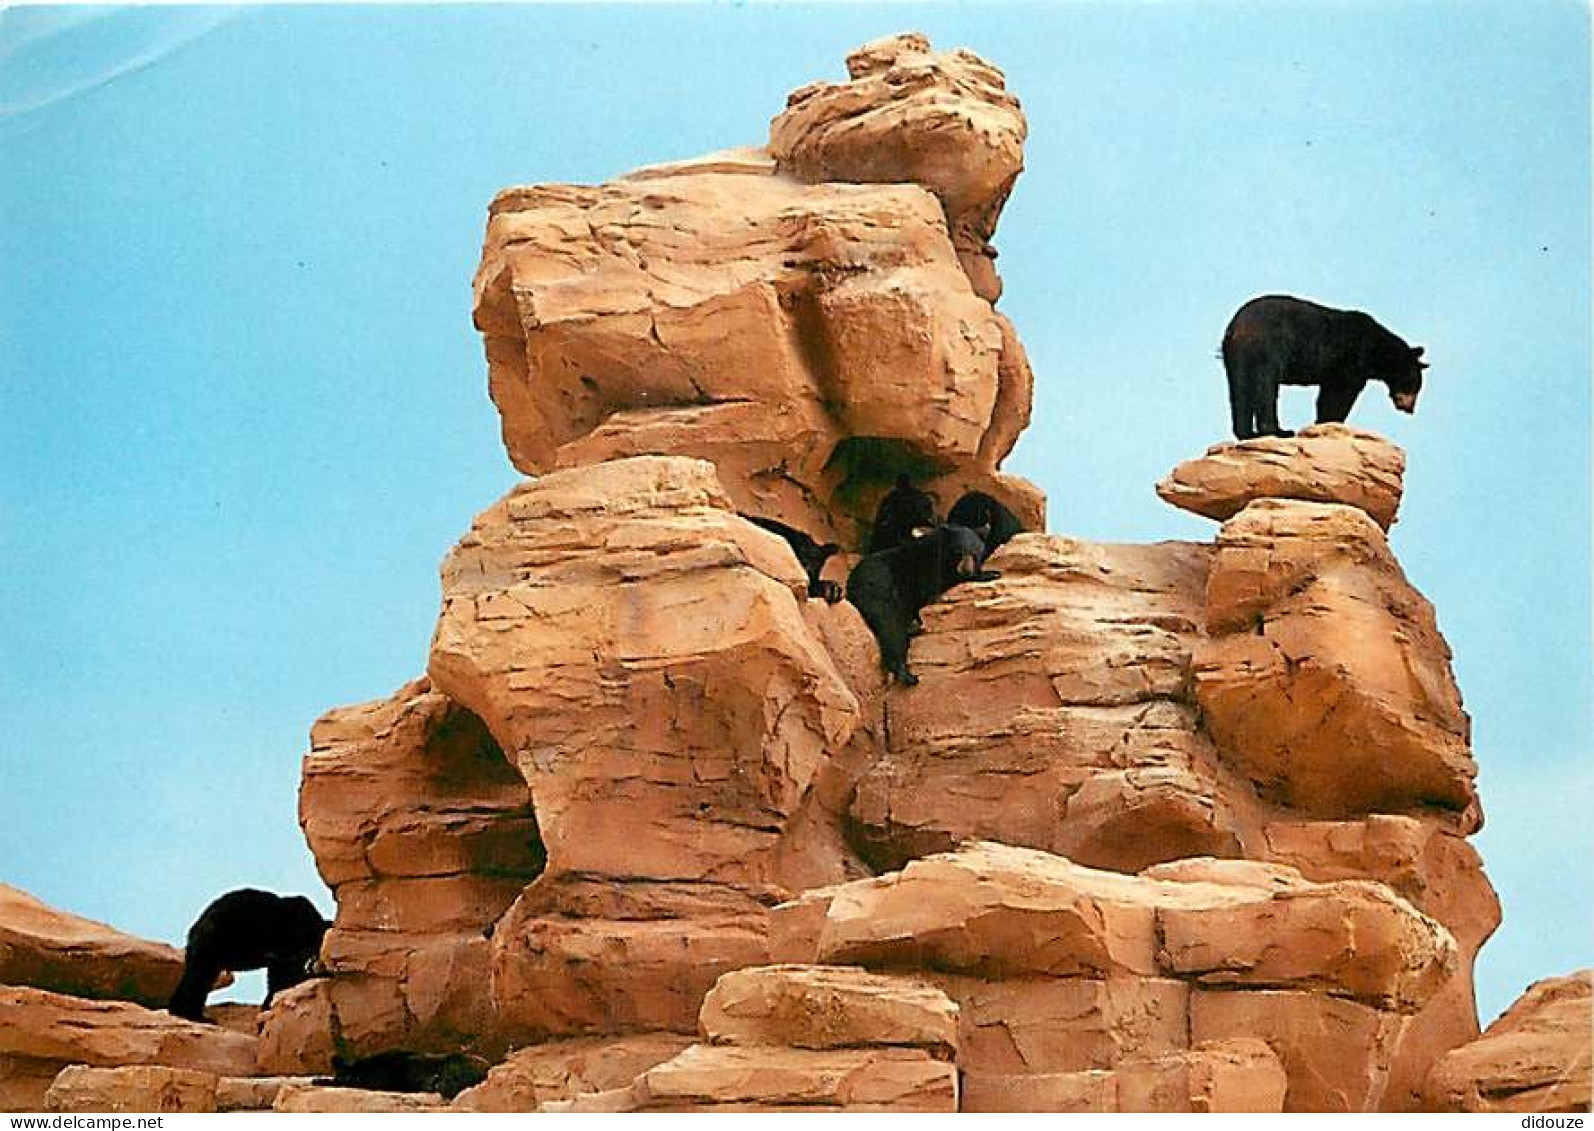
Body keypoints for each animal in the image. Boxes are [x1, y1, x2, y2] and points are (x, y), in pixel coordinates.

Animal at [168, 892, 329, 1025]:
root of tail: (195, 928)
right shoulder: (290, 946)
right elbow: (283, 976)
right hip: (211, 945)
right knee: (199, 978)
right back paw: (193, 1016)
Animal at [848, 525, 981, 691]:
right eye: (959, 552)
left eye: (975, 554)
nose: (967, 570)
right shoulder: (926, 567)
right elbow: (932, 586)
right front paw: (990, 573)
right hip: (881, 592)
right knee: (891, 627)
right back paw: (906, 672)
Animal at [1217, 294, 1434, 439]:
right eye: (1414, 384)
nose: (1409, 408)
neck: (1377, 350)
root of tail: (1237, 327)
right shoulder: (1351, 359)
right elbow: (1341, 393)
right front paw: (1331, 422)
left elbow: (1327, 393)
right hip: (1270, 347)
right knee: (1266, 387)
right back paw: (1279, 431)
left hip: (1236, 357)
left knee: (1239, 389)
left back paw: (1246, 433)